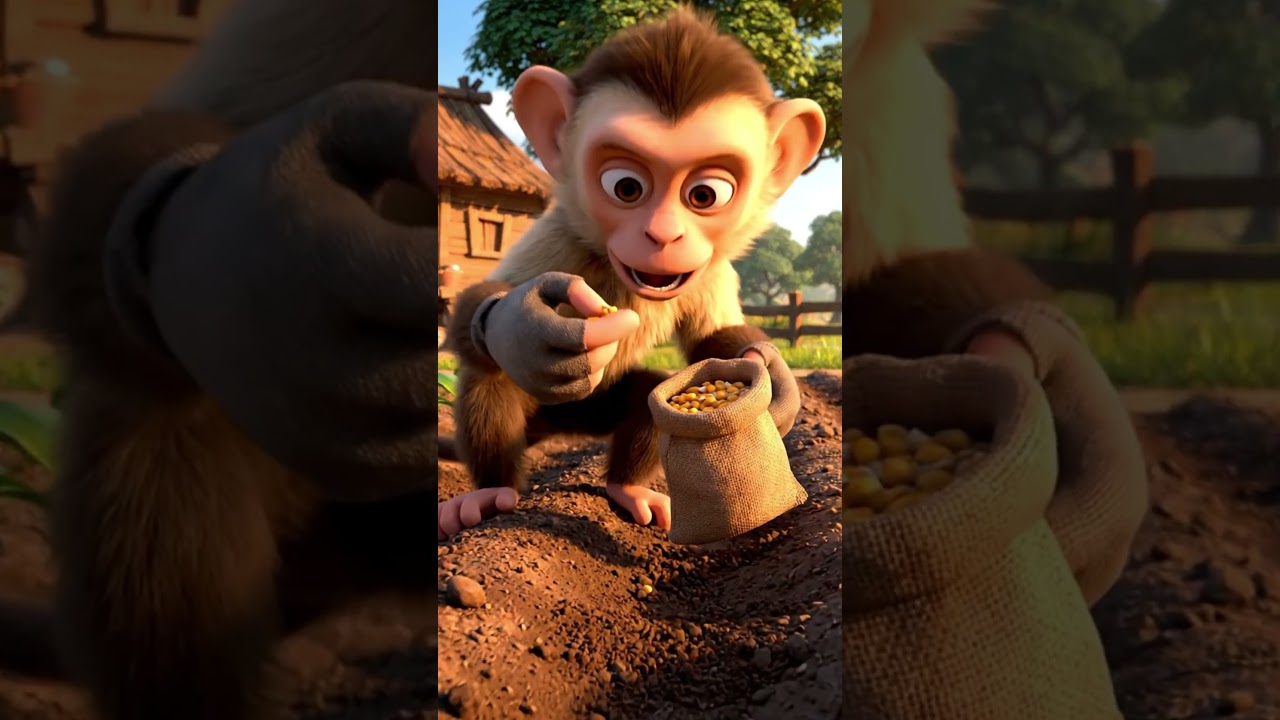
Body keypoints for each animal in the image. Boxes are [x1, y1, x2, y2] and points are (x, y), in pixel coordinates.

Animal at [436, 6, 827, 540]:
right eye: (626, 187)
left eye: (705, 195)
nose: (662, 235)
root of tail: (559, 429)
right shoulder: (558, 235)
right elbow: (478, 309)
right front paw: (523, 326)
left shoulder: (711, 271)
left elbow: (713, 338)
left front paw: (772, 371)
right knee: (489, 374)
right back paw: (489, 495)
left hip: (596, 410)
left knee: (646, 395)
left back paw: (628, 489)